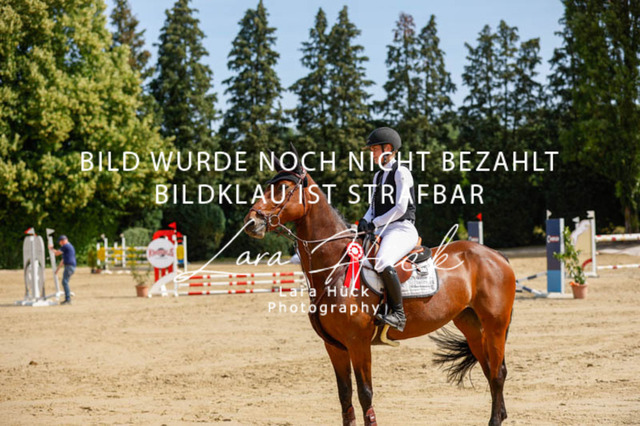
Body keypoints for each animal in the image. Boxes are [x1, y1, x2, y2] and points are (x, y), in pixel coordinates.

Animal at [244, 151, 516, 426]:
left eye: (283, 188)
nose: (251, 222)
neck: (335, 266)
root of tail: (495, 255)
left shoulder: (358, 343)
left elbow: (365, 393)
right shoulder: (334, 346)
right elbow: (345, 395)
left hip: (494, 324)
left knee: (498, 372)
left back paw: (495, 419)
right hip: (470, 323)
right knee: (488, 369)